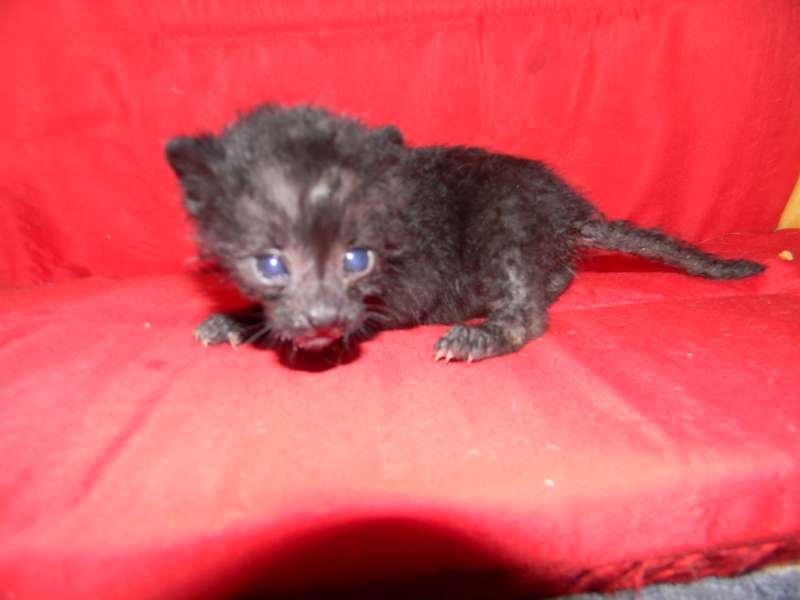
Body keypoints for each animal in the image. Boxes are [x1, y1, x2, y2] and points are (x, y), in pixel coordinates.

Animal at [165, 104, 764, 363]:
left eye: (355, 260)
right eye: (270, 264)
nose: (321, 315)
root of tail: (569, 212)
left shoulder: (404, 289)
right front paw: (238, 321)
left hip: (505, 223)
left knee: (527, 317)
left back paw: (479, 335)